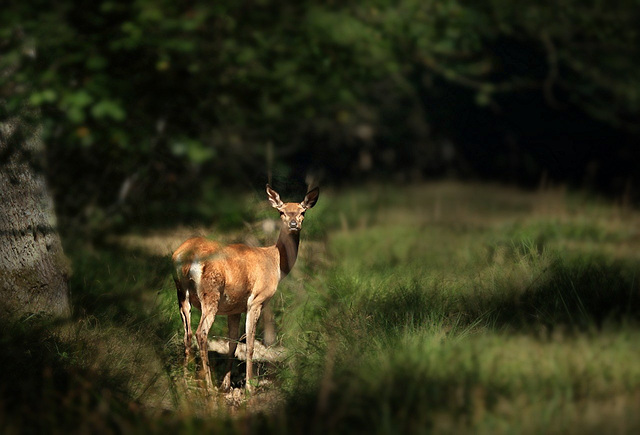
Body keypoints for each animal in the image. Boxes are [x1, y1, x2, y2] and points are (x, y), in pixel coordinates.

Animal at [171, 182, 318, 394]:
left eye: (302, 211)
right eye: (281, 211)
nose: (293, 224)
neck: (275, 262)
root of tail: (187, 256)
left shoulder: (235, 308)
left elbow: (232, 344)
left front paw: (226, 385)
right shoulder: (257, 300)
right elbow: (249, 344)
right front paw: (249, 387)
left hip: (182, 293)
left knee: (187, 334)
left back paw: (186, 382)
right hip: (211, 291)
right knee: (201, 333)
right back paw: (209, 386)